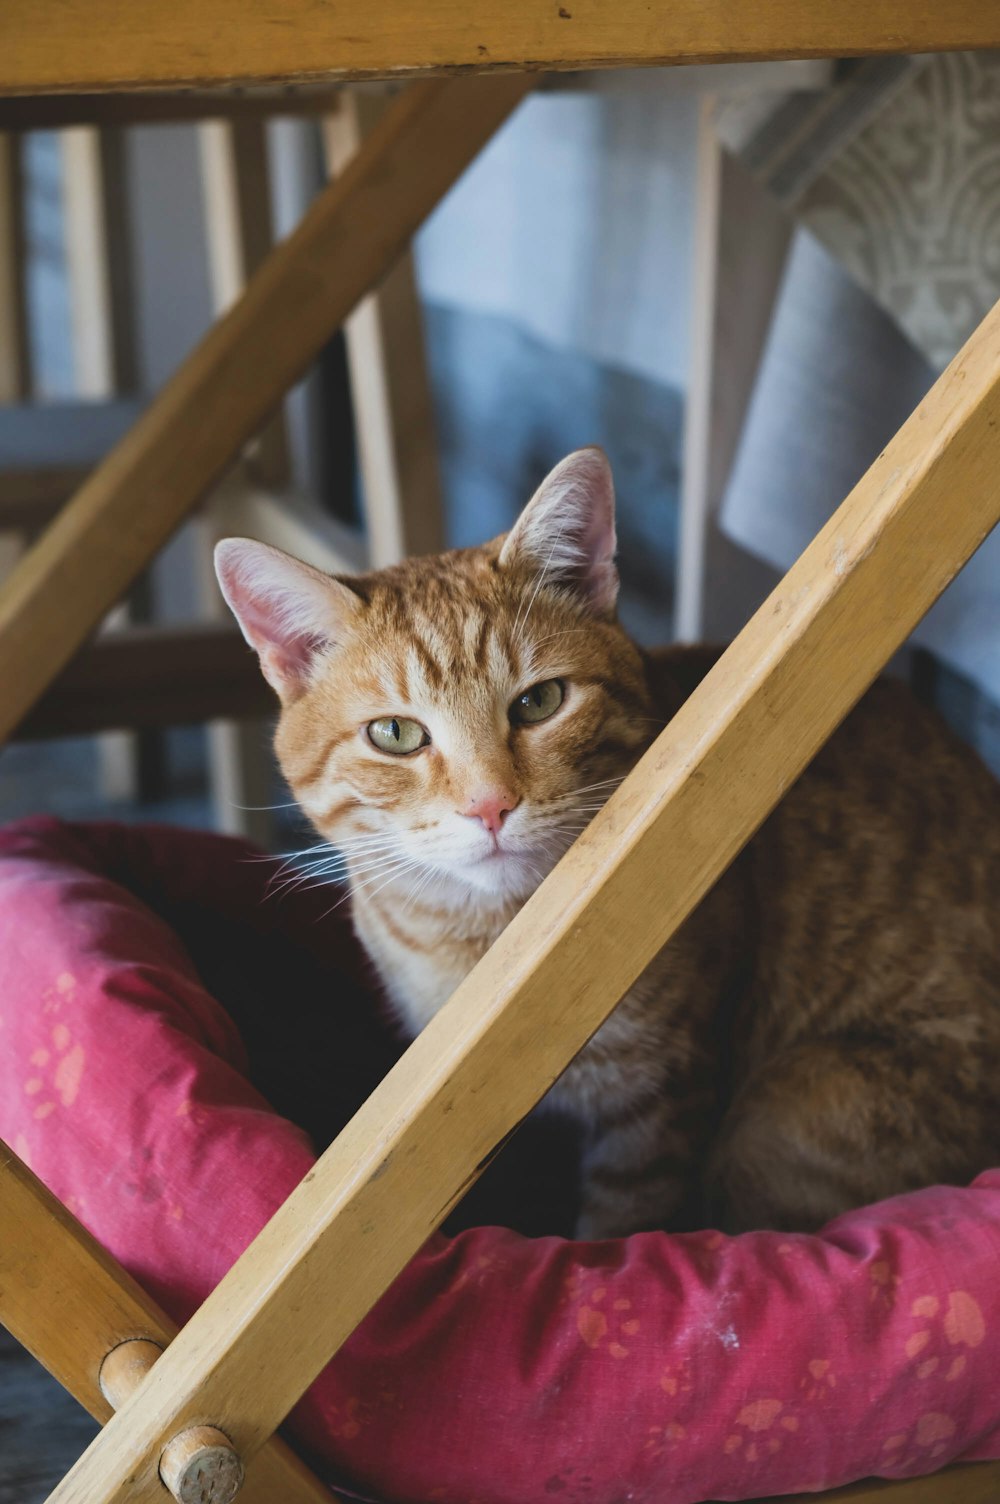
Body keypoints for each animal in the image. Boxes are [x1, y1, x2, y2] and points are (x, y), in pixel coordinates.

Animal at [216, 442, 998, 1233]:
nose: (490, 806)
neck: (476, 944)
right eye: (396, 735)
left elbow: (624, 1221)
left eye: (539, 701)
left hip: (783, 1110)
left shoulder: (656, 1106)